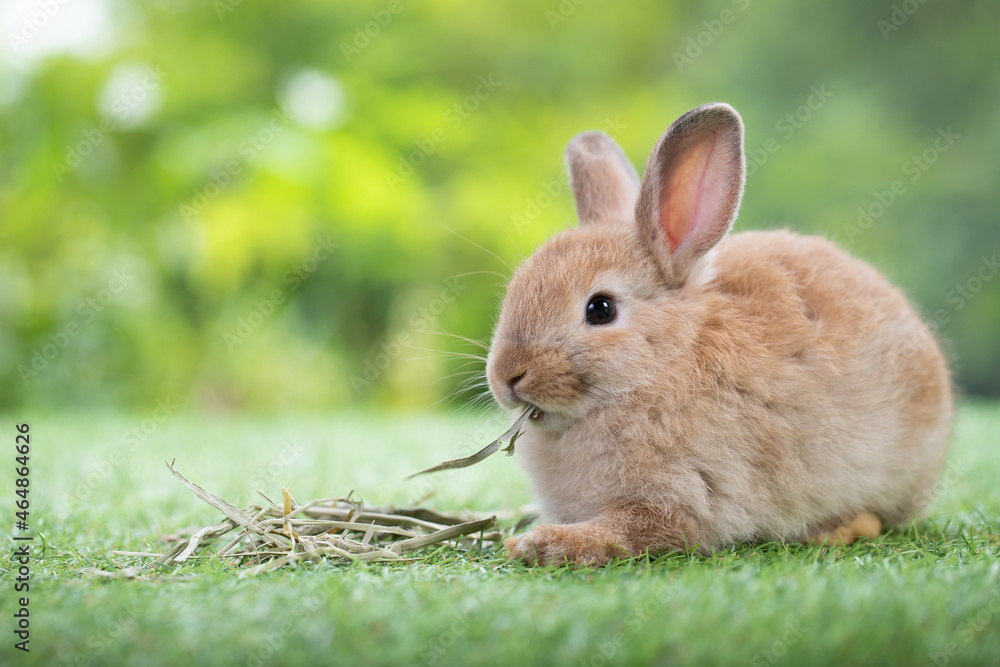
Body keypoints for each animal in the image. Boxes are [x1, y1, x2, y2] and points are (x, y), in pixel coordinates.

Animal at [486, 103, 953, 566]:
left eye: (600, 309)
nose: (507, 376)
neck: (664, 363)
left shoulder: (682, 500)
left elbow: (628, 533)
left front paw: (541, 544)